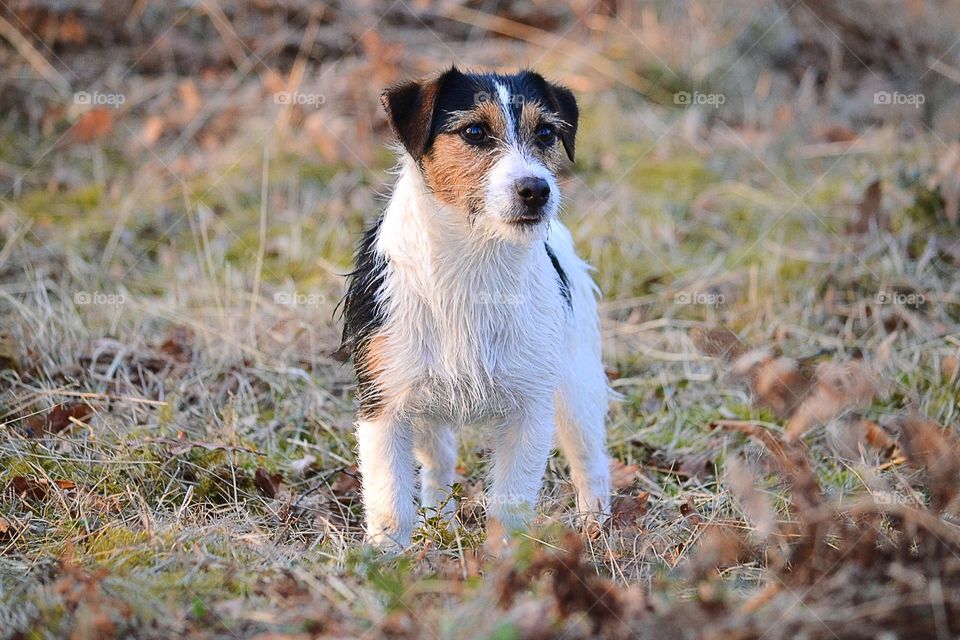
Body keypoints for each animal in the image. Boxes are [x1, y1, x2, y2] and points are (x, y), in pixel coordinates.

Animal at [342, 66, 612, 552]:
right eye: (474, 132)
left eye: (545, 133)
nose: (537, 190)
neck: (474, 257)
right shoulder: (384, 406)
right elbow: (390, 501)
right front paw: (387, 558)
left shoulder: (530, 410)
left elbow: (511, 501)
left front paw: (505, 558)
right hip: (425, 410)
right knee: (439, 461)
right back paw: (438, 518)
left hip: (577, 389)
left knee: (591, 460)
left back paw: (596, 526)